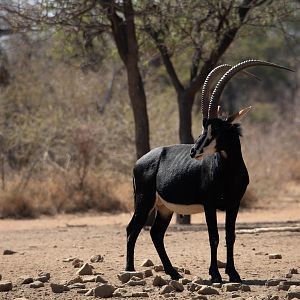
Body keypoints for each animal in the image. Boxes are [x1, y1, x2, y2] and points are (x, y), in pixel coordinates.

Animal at [125, 59, 292, 284]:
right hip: (144, 201)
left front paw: (234, 274)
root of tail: (140, 161)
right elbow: (214, 236)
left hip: (164, 208)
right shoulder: (209, 205)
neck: (229, 173)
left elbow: (230, 236)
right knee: (132, 229)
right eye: (204, 126)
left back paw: (173, 272)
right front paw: (215, 274)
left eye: (217, 128)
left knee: (156, 234)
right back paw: (130, 269)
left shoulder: (234, 205)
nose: (194, 151)